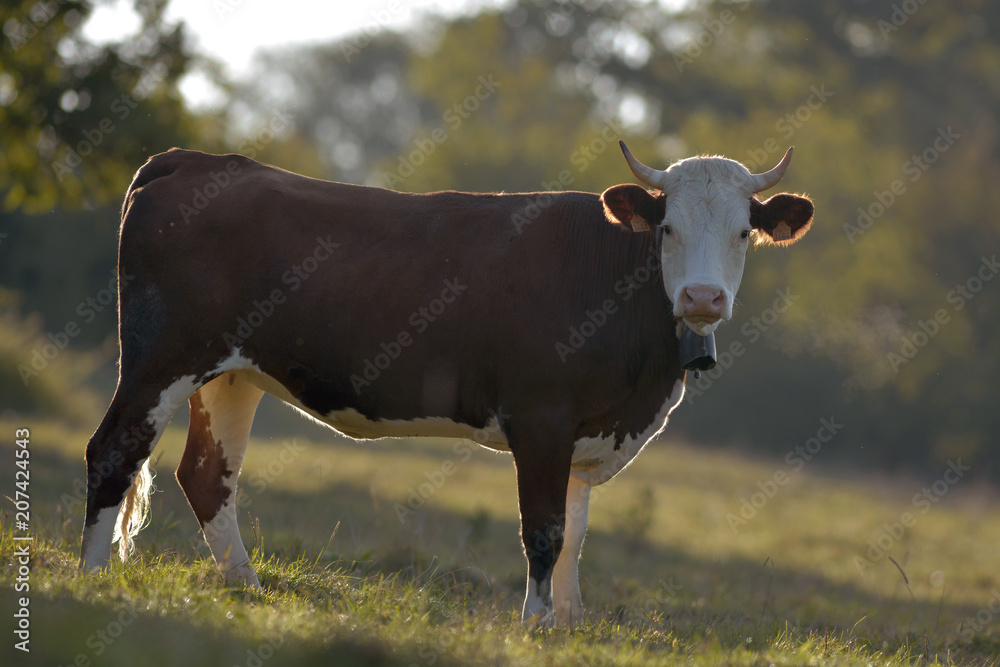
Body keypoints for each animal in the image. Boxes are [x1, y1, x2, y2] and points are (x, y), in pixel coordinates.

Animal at [80, 141, 813, 626]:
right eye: (668, 227)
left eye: (744, 232)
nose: (702, 297)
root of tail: (192, 159)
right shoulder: (541, 418)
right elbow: (544, 531)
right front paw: (534, 623)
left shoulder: (586, 431)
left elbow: (575, 535)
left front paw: (568, 624)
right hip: (161, 356)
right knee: (114, 450)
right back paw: (90, 576)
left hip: (233, 374)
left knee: (208, 475)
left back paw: (246, 588)